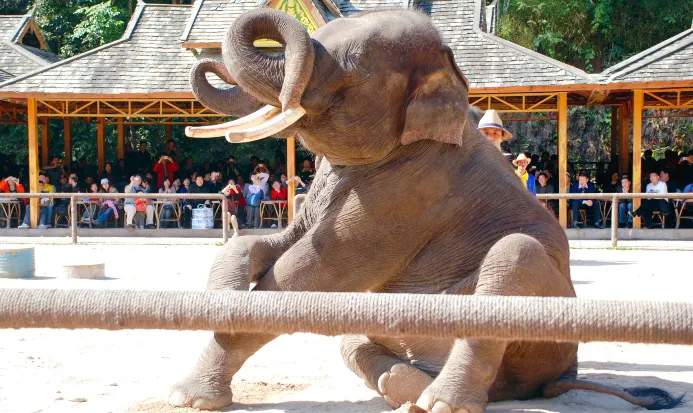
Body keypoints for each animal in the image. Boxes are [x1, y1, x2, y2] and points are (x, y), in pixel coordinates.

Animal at [169, 8, 682, 413]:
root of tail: (562, 376)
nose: (204, 58)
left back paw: (437, 402)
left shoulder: (410, 192)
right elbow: (269, 244)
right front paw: (223, 298)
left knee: (513, 255)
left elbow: (307, 274)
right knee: (352, 340)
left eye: (353, 70)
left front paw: (187, 398)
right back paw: (407, 389)